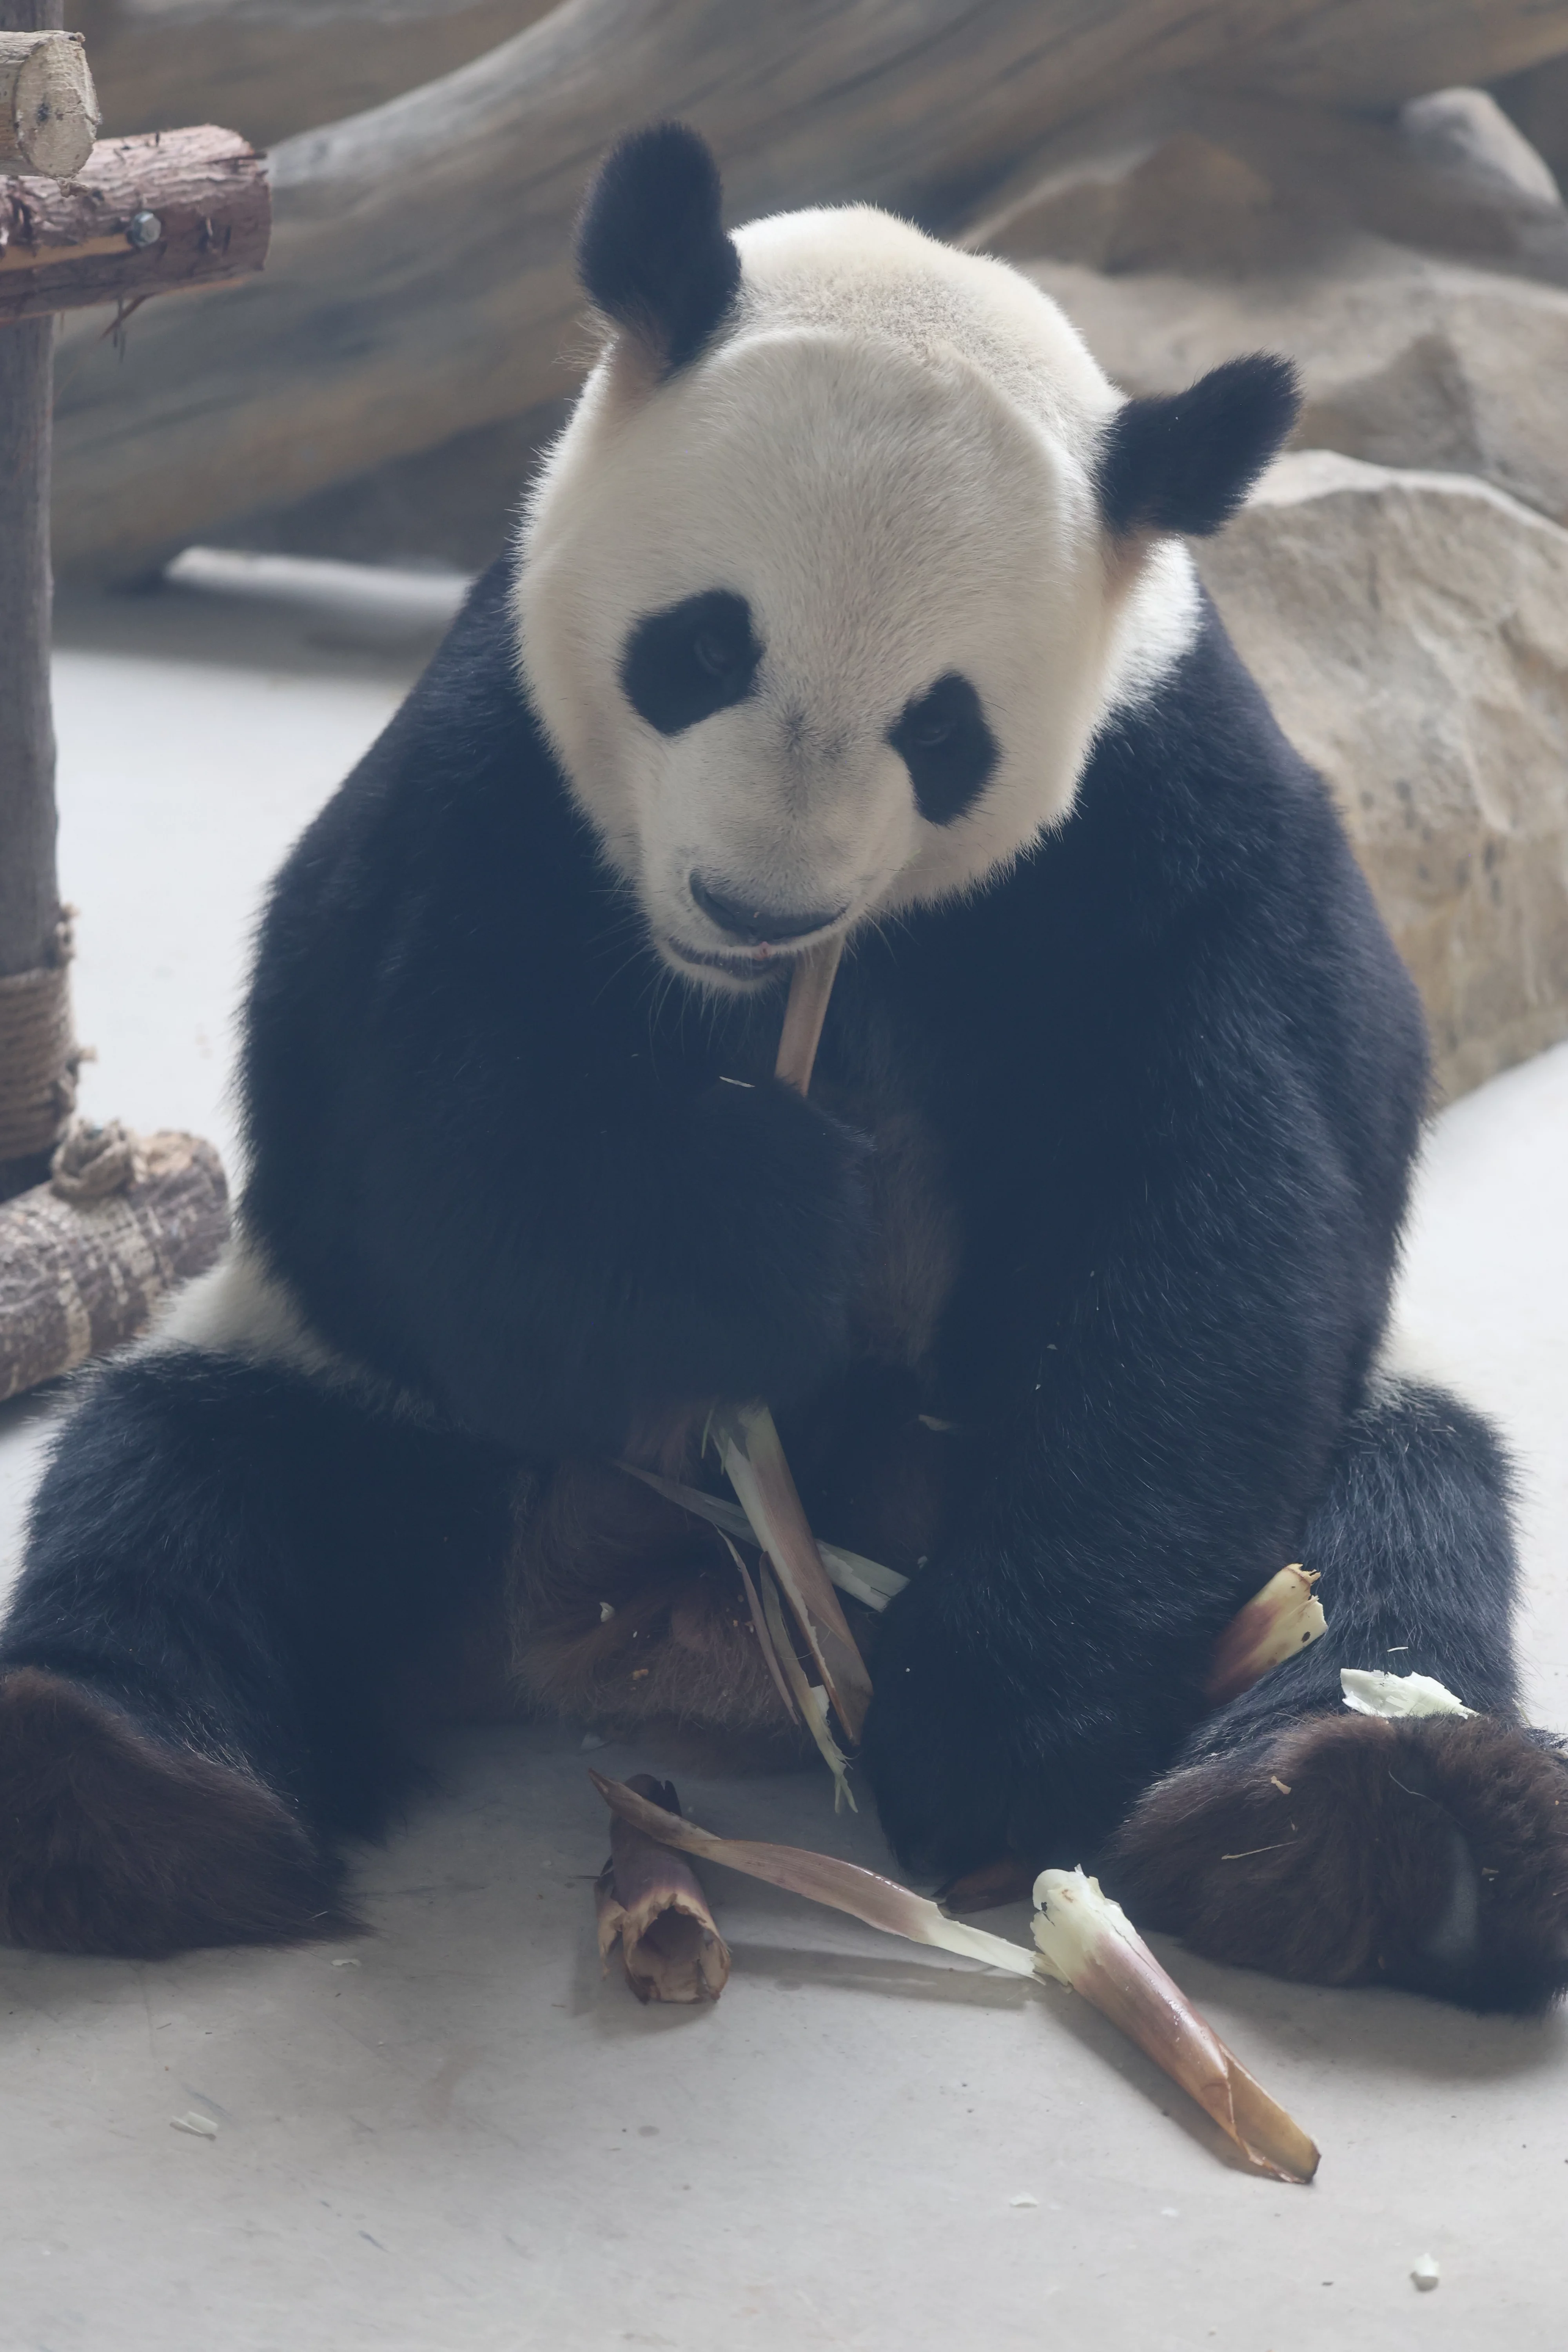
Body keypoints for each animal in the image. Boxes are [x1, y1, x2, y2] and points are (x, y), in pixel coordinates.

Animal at [3, 124, 1566, 2008]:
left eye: (943, 727)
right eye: (699, 648)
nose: (755, 902)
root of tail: (626, 1637)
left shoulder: (1163, 817)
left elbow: (1219, 1221)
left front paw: (989, 1731)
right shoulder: (494, 757)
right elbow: (390, 1139)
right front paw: (754, 1226)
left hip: (1330, 1455)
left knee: (1384, 1537)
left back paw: (1364, 1824)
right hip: (353, 1407)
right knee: (180, 1485)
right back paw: (113, 1798)